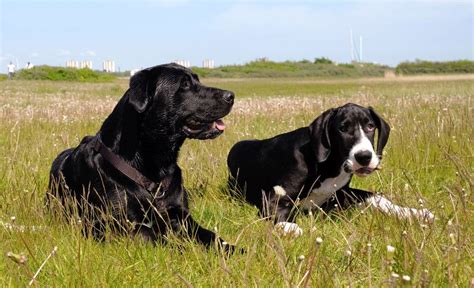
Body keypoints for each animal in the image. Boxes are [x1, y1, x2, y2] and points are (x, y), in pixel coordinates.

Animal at [48, 63, 237, 252]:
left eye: (197, 80)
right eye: (184, 84)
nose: (231, 96)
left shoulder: (181, 216)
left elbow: (211, 235)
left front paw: (233, 249)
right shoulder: (120, 225)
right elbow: (164, 241)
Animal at [229, 103, 434, 236]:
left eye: (370, 126)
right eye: (342, 128)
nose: (364, 157)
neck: (328, 166)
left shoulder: (342, 193)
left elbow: (377, 197)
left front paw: (414, 213)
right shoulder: (273, 198)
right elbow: (279, 214)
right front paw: (289, 227)